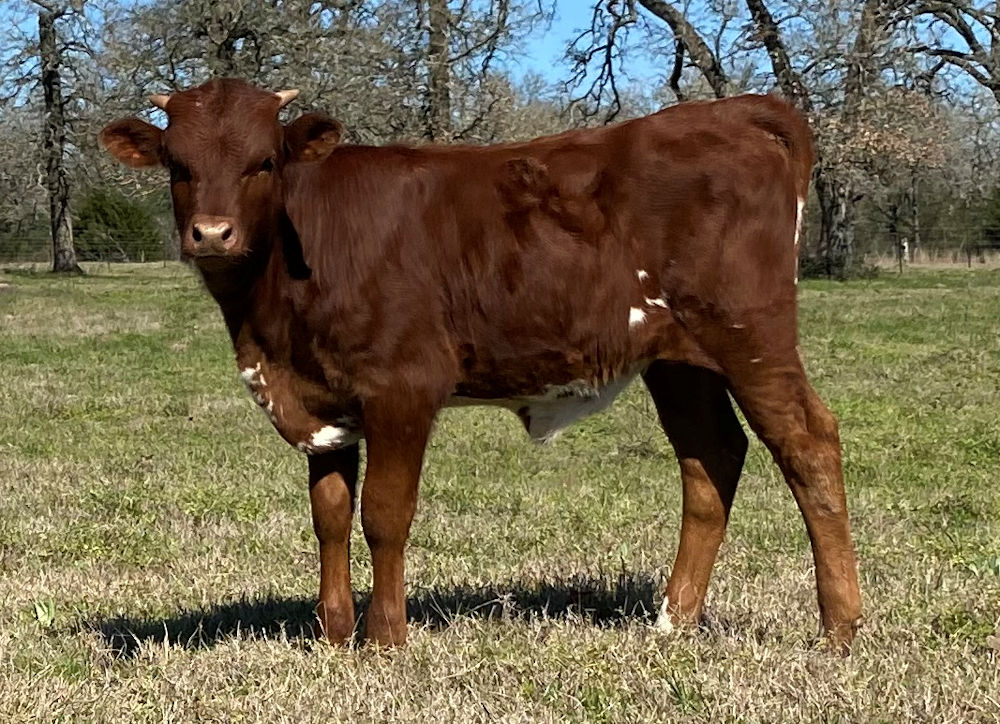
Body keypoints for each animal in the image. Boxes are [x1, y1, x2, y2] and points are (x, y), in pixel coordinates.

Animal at [99, 78, 862, 652]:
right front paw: (333, 633)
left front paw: (385, 639)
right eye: (178, 165)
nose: (212, 234)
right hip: (678, 359)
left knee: (808, 444)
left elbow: (384, 513)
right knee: (712, 458)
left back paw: (839, 628)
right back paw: (673, 621)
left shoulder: (401, 386)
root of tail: (727, 112)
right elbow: (330, 514)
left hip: (750, 334)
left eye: (262, 162)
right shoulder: (322, 400)